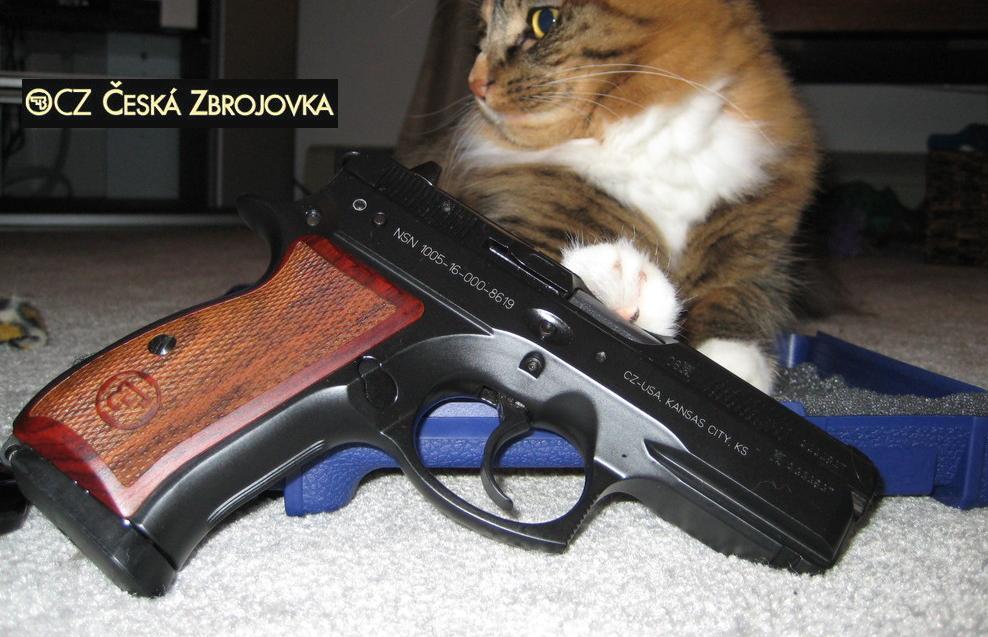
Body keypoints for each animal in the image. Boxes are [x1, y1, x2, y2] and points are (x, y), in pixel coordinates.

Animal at [398, 0, 818, 392]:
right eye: (483, 34)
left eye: (544, 21)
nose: (475, 82)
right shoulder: (525, 218)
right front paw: (618, 283)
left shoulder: (758, 251)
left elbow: (739, 301)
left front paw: (736, 366)